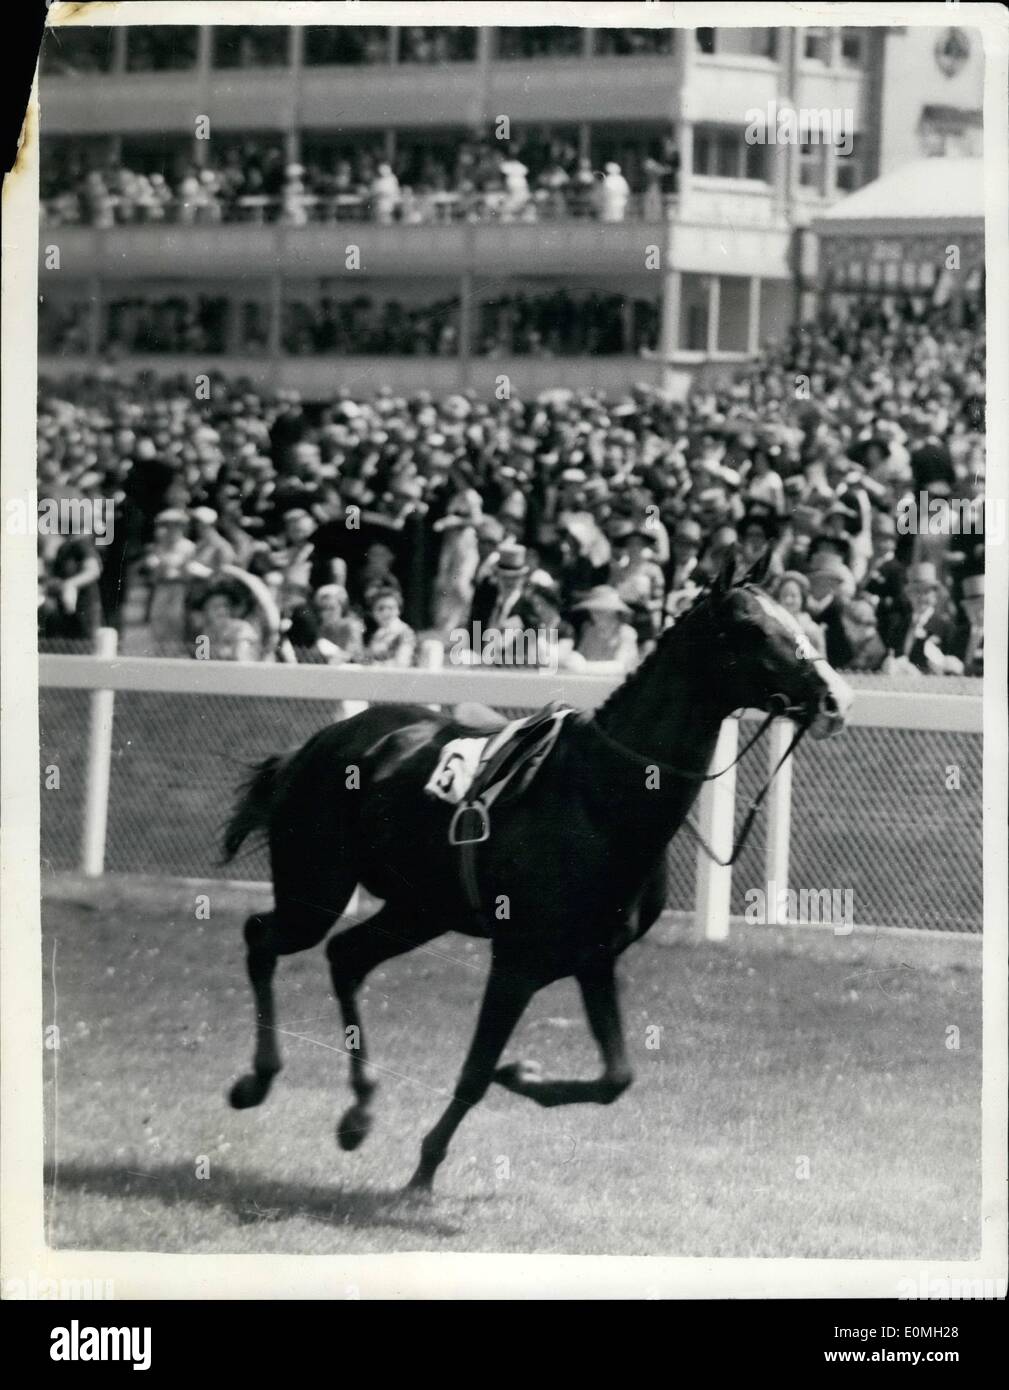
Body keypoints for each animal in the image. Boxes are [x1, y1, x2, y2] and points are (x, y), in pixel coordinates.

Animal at [223, 553, 856, 1195]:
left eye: (796, 617)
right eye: (752, 627)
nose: (835, 698)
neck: (602, 797)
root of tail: (320, 742)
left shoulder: (595, 958)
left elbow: (615, 1077)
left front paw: (522, 1075)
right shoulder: (517, 962)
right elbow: (476, 1071)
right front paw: (426, 1168)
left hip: (418, 910)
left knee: (346, 957)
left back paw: (359, 1109)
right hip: (317, 892)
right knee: (264, 937)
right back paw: (258, 1080)